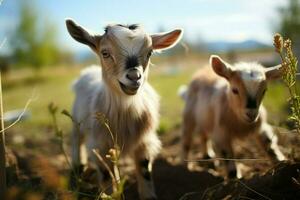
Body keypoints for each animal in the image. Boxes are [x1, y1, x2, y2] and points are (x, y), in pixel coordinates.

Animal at [66, 19, 183, 200]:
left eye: (150, 53)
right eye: (105, 53)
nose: (134, 77)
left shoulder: (144, 142)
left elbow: (144, 171)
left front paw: (148, 196)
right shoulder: (100, 144)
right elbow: (106, 174)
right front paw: (109, 195)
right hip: (76, 121)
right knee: (76, 140)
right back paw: (79, 166)